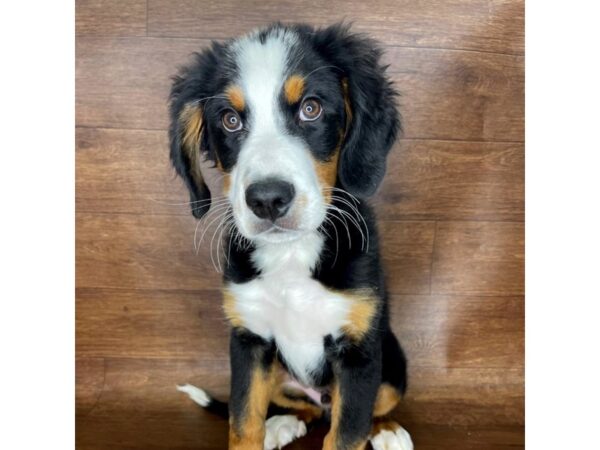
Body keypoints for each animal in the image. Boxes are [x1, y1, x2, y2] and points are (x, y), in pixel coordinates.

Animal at [169, 23, 412, 450]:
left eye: (310, 108)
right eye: (229, 120)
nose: (267, 200)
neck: (290, 257)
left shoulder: (359, 353)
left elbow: (348, 432)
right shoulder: (248, 341)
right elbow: (242, 422)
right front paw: (257, 431)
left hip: (392, 361)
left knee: (370, 408)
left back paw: (387, 430)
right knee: (305, 408)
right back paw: (283, 423)